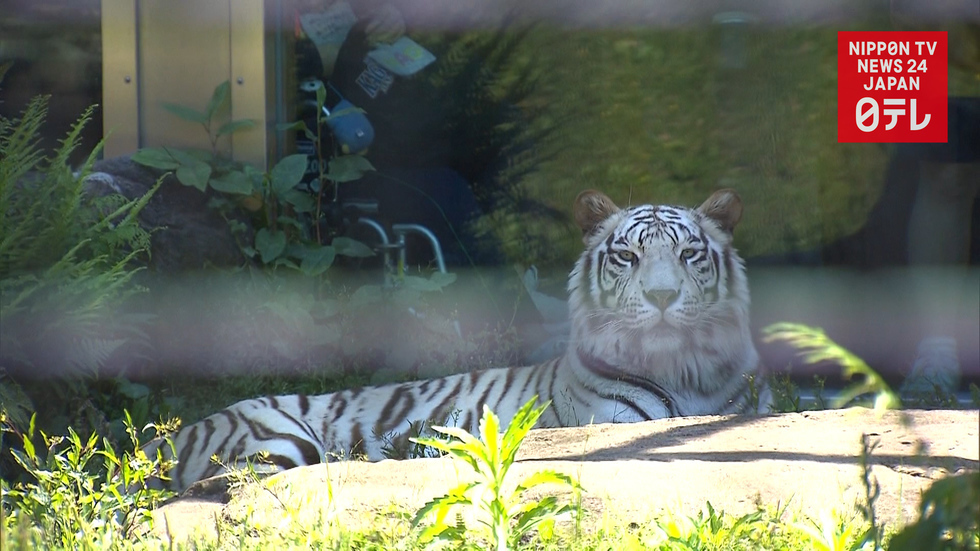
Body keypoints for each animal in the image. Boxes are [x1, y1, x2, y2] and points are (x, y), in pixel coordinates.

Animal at [153, 188, 769, 492]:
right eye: (628, 256)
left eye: (689, 254)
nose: (663, 297)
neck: (683, 369)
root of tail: (172, 434)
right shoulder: (613, 423)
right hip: (274, 443)